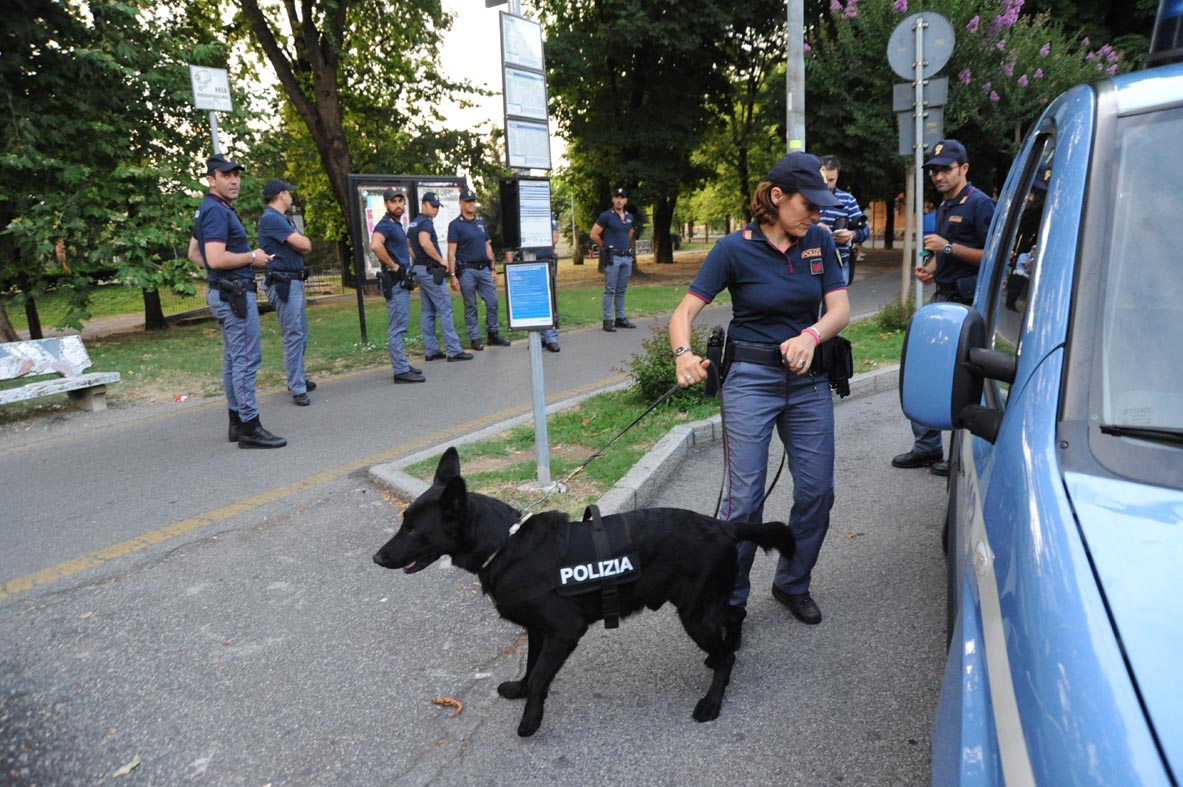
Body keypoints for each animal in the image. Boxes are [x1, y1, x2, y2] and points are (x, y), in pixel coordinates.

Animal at [371, 447, 794, 738]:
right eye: (403, 522)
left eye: (414, 530)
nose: (377, 558)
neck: (503, 544)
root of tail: (725, 527)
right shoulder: (538, 632)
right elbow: (530, 668)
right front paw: (520, 691)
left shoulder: (563, 632)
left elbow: (541, 677)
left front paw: (531, 720)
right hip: (703, 607)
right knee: (735, 616)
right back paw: (727, 648)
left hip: (695, 615)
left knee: (726, 656)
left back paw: (712, 701)